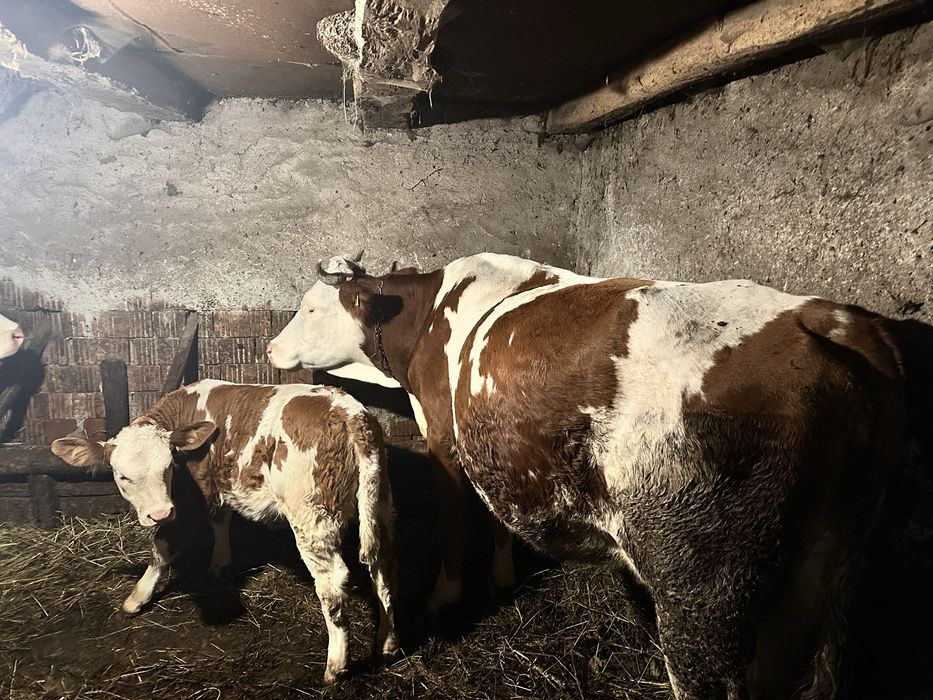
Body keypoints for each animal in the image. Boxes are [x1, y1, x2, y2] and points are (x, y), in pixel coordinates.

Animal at [51, 379, 398, 685]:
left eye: (168, 468)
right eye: (122, 476)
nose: (159, 512)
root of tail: (348, 411)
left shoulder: (188, 501)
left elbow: (162, 548)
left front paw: (135, 599)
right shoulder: (216, 486)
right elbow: (220, 521)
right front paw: (219, 565)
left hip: (310, 516)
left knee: (333, 583)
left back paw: (334, 668)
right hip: (379, 503)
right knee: (382, 568)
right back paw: (387, 644)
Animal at [266, 252, 912, 698]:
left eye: (311, 308)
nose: (271, 348)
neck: (428, 319)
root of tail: (823, 317)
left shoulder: (445, 440)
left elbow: (455, 522)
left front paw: (447, 596)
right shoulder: (489, 442)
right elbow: (495, 517)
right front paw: (502, 575)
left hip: (702, 577)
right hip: (822, 568)